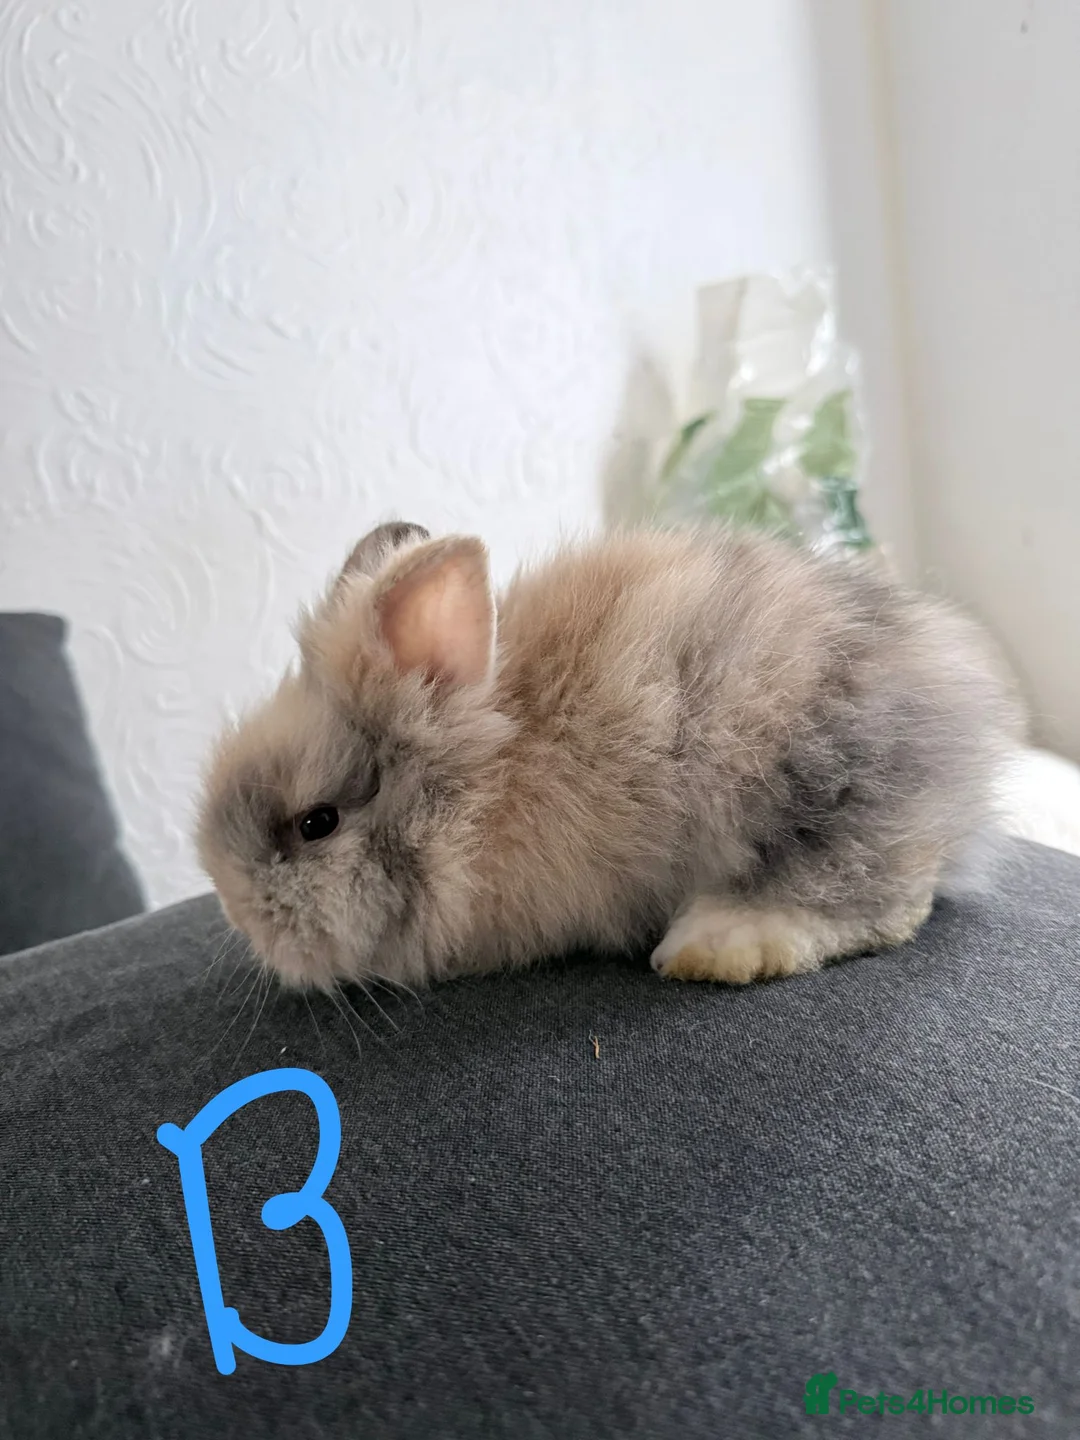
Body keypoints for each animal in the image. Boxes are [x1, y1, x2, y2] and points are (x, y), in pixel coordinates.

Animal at [196, 520, 1022, 992]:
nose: (238, 917)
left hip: (823, 781)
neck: (479, 793)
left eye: (317, 823)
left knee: (875, 897)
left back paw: (717, 943)